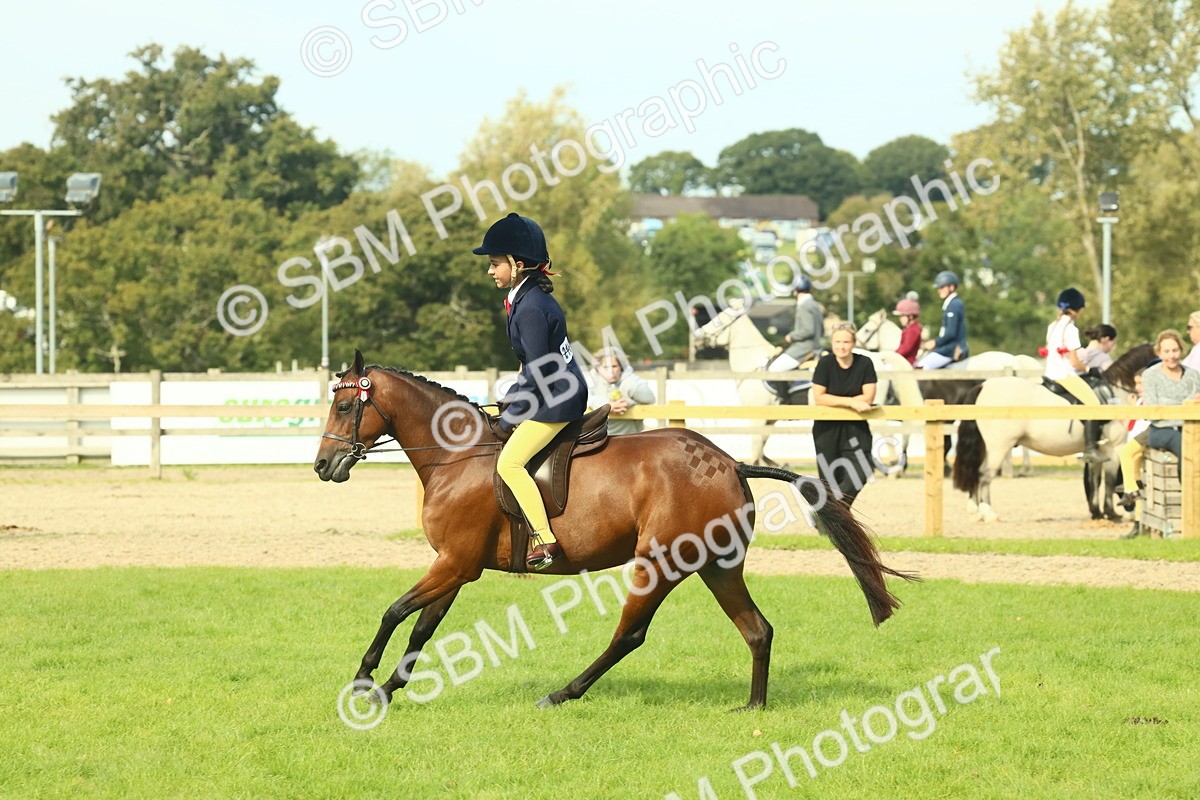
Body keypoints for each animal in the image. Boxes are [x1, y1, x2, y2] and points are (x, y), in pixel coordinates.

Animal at [313, 350, 915, 710]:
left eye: (343, 404)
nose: (323, 466)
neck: (457, 456)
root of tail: (728, 463)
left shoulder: (454, 564)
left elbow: (394, 611)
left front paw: (364, 680)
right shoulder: (457, 567)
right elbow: (421, 627)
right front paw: (388, 688)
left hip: (660, 563)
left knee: (630, 634)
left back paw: (562, 693)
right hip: (718, 568)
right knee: (757, 630)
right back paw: (754, 706)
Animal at [951, 344, 1154, 523]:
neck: (1115, 392)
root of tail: (983, 386)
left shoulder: (1100, 452)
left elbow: (1095, 481)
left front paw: (1097, 513)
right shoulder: (1114, 447)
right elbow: (1110, 482)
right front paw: (1111, 513)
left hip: (987, 447)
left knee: (976, 473)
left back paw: (976, 512)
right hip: (999, 447)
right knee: (985, 475)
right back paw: (989, 513)